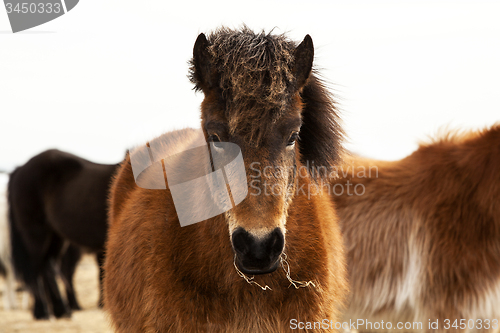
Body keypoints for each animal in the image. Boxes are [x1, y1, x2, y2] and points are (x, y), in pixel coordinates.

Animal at [8, 149, 118, 318]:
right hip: (35, 232)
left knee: (49, 267)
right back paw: (42, 311)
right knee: (37, 268)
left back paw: (61, 310)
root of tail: (19, 169)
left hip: (56, 237)